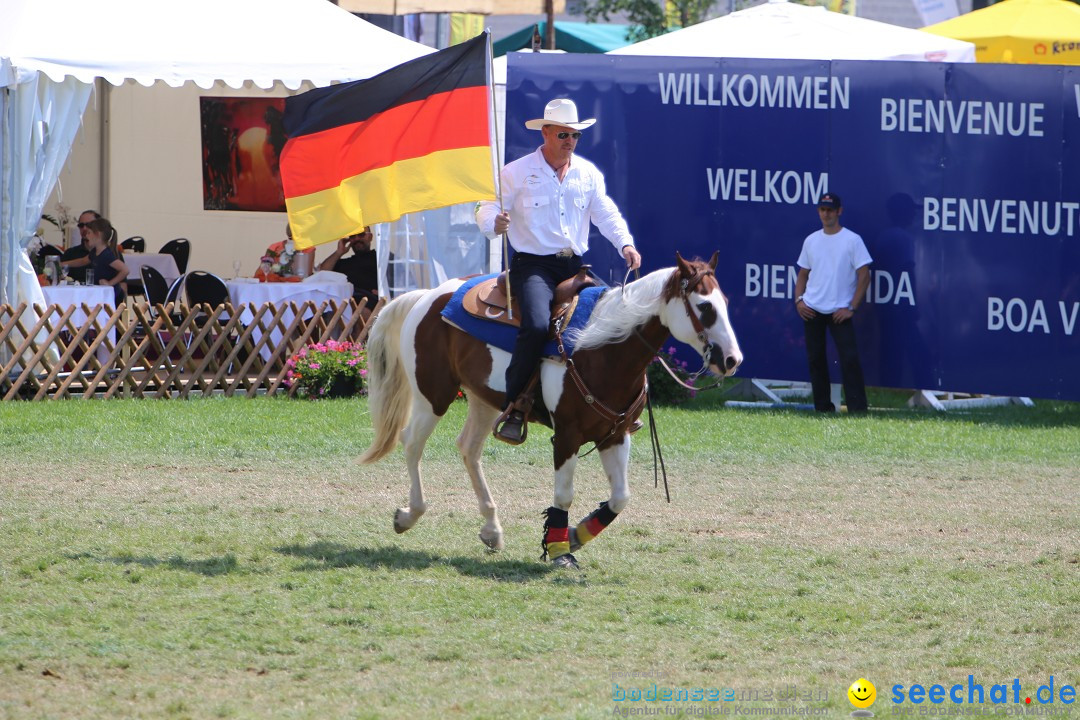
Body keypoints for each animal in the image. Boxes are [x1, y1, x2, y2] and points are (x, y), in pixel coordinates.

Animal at [358, 253, 738, 569]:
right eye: (704, 307)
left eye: (725, 302)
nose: (732, 360)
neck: (601, 348)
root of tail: (427, 294)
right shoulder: (567, 435)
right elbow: (564, 495)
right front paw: (558, 550)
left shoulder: (615, 435)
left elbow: (620, 498)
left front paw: (575, 536)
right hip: (433, 394)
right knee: (412, 443)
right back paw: (409, 515)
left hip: (483, 399)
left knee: (468, 448)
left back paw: (492, 528)